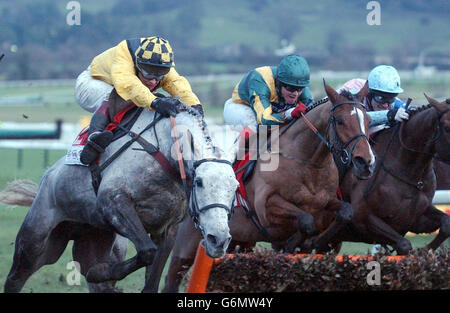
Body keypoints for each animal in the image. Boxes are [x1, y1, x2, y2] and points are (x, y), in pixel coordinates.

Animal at [0, 105, 239, 292]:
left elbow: (150, 277)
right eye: (199, 182)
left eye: (235, 187)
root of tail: (48, 175)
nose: (219, 239)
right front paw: (100, 271)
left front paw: (99, 272)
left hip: (97, 240)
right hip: (36, 243)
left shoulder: (166, 230)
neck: (163, 150)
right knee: (15, 278)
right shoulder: (114, 203)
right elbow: (146, 252)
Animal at [149, 80, 376, 290]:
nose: (366, 163)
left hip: (238, 242)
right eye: (340, 121)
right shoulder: (267, 208)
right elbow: (305, 221)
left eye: (368, 119)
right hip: (186, 247)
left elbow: (344, 213)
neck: (307, 162)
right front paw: (295, 244)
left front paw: (309, 244)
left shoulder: (327, 204)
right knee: (171, 279)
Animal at [330, 94, 450, 254]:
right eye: (447, 128)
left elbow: (446, 223)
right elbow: (404, 244)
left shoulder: (416, 218)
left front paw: (425, 250)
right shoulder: (360, 218)